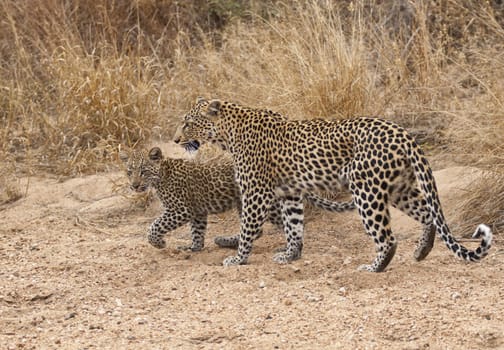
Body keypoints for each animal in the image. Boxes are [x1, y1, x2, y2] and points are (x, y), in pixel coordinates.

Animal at [120, 147, 354, 252]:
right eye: (129, 171)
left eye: (143, 171)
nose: (134, 185)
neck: (161, 176)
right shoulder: (197, 212)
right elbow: (197, 232)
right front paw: (194, 248)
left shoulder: (180, 210)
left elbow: (154, 225)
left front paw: (159, 242)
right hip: (245, 203)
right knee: (256, 229)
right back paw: (227, 242)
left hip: (261, 203)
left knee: (277, 226)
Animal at [173, 97, 492, 272]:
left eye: (188, 123)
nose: (175, 140)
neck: (227, 134)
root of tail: (401, 131)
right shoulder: (290, 193)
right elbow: (294, 226)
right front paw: (291, 255)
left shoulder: (256, 192)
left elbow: (248, 228)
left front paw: (238, 258)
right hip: (399, 188)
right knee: (428, 215)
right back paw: (422, 251)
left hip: (366, 190)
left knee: (387, 238)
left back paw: (374, 268)